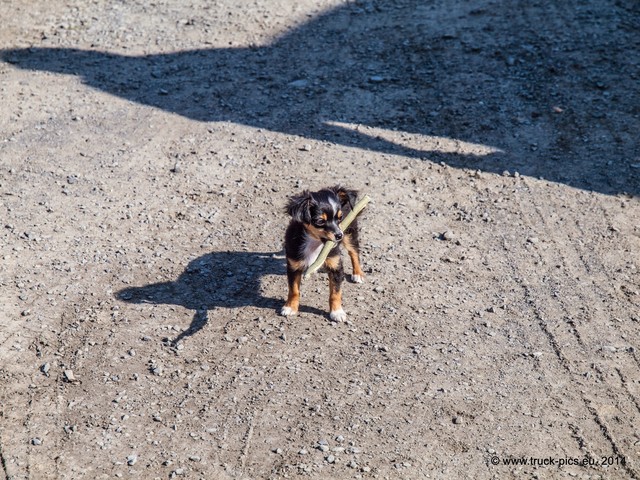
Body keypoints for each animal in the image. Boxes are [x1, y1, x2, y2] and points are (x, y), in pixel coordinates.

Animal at [282, 186, 364, 320]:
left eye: (340, 217)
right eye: (320, 221)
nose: (339, 235)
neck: (315, 243)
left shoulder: (336, 266)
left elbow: (335, 293)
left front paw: (337, 312)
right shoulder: (294, 265)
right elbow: (294, 290)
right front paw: (290, 307)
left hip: (350, 233)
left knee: (354, 252)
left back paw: (358, 273)